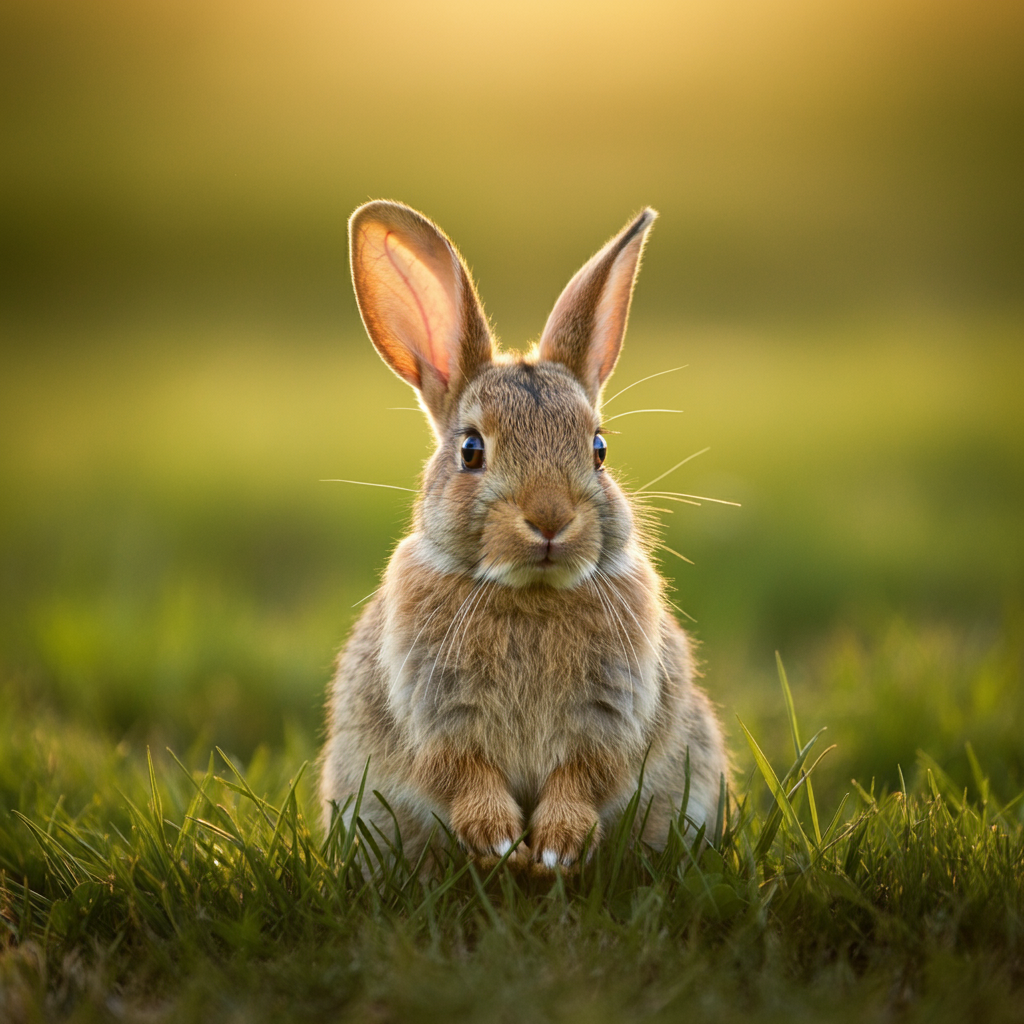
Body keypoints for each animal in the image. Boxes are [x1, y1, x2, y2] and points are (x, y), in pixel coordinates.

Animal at [319, 201, 729, 872]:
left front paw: (556, 848)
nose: (550, 518)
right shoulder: (436, 717)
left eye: (599, 449)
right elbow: (461, 772)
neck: (530, 592)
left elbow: (584, 775)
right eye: (471, 450)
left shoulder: (610, 716)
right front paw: (502, 842)